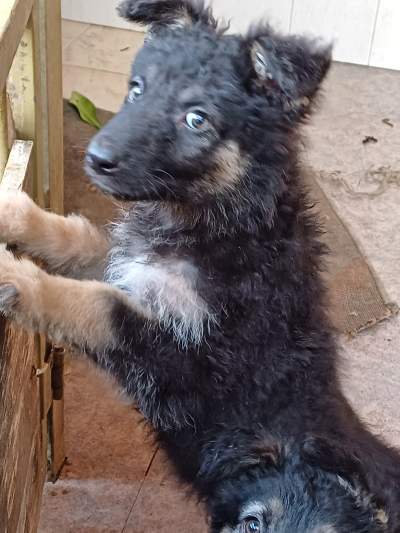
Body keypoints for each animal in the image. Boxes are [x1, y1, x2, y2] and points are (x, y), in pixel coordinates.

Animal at [0, 2, 400, 528]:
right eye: (137, 89)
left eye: (196, 119)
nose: (95, 158)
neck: (218, 223)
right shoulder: (131, 264)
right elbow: (78, 238)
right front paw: (11, 212)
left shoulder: (183, 352)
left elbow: (93, 304)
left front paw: (16, 277)